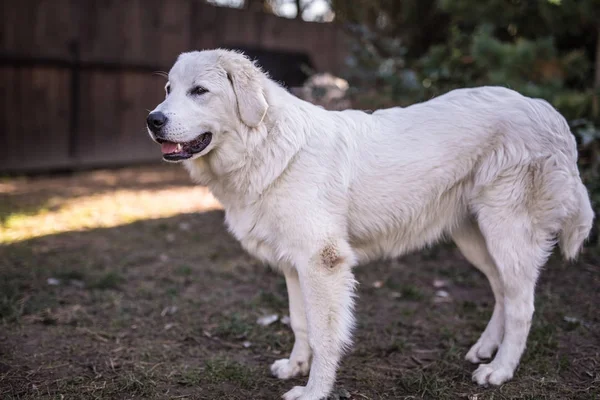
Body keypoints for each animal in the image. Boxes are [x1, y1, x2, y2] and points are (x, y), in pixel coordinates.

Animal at [148, 48, 592, 398]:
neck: (266, 146)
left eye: (199, 91)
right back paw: (485, 350)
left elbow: (324, 333)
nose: (153, 120)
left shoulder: (322, 262)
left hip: (506, 230)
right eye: (169, 89)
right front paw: (295, 366)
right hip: (474, 236)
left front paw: (314, 391)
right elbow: (299, 321)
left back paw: (499, 370)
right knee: (502, 292)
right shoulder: (294, 262)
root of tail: (548, 111)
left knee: (522, 304)